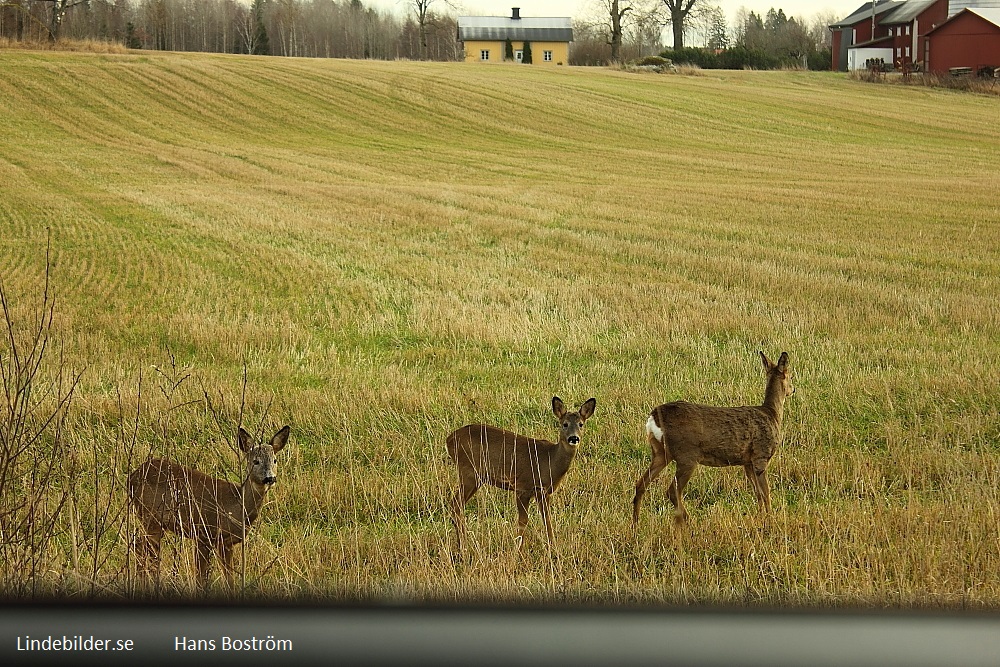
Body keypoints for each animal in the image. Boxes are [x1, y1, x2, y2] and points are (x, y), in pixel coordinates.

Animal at [127, 426, 288, 592]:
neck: (235, 506)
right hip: (150, 517)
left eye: (274, 460)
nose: (270, 478)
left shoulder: (226, 543)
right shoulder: (204, 533)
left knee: (140, 547)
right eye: (256, 461)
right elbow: (201, 577)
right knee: (142, 548)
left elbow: (229, 578)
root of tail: (132, 476)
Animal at [450, 396, 596, 552]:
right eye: (565, 424)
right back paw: (463, 546)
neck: (549, 460)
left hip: (475, 477)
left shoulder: (543, 492)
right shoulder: (522, 487)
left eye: (581, 424)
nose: (574, 438)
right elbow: (523, 522)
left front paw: (553, 549)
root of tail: (449, 440)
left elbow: (547, 520)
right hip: (469, 472)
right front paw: (518, 551)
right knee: (455, 504)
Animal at [632, 354, 796, 528]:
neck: (772, 414)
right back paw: (691, 522)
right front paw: (770, 521)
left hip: (660, 453)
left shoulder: (747, 462)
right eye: (791, 376)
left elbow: (758, 493)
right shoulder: (761, 455)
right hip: (687, 455)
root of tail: (654, 417)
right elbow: (766, 493)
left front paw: (761, 518)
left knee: (640, 484)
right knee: (672, 491)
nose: (793, 389)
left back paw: (636, 524)